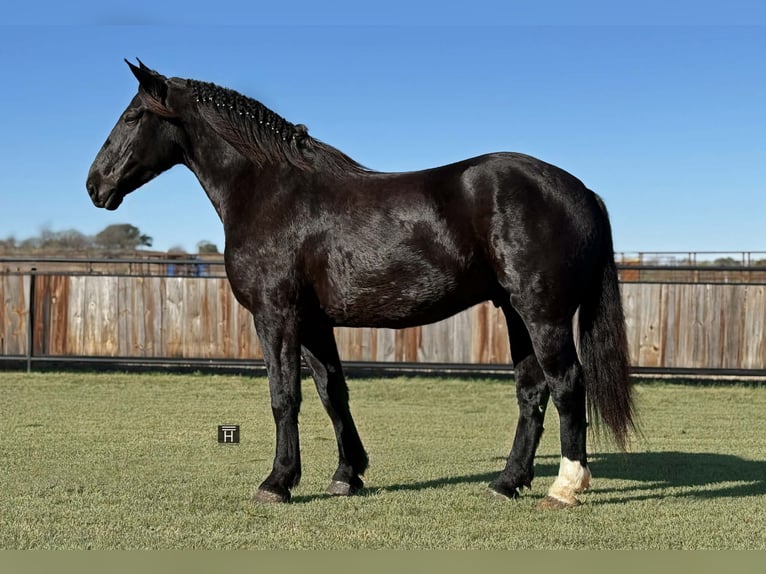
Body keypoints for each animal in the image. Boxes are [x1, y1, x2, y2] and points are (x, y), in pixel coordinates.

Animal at [86, 59, 635, 508]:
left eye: (132, 116)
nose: (95, 184)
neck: (271, 191)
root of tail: (581, 190)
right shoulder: (313, 322)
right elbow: (333, 392)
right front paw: (346, 476)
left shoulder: (276, 315)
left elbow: (284, 396)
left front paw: (277, 482)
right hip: (516, 313)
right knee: (531, 391)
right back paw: (507, 482)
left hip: (543, 313)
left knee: (567, 383)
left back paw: (565, 487)